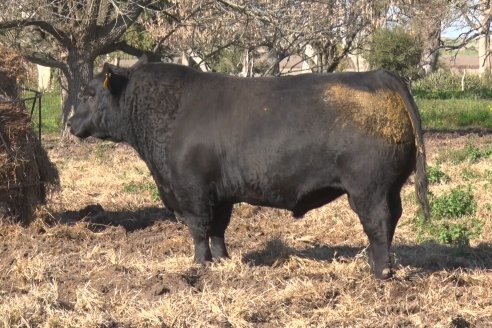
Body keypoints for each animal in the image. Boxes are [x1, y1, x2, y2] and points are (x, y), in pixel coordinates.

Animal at [67, 57, 428, 278]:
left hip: (368, 189)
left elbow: (198, 229)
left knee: (378, 222)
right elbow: (217, 229)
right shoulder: (219, 194)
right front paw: (222, 259)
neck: (170, 111)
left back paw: (380, 271)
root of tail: (378, 74)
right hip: (390, 187)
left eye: (88, 93)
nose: (70, 123)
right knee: (392, 219)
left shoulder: (192, 191)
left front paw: (199, 264)